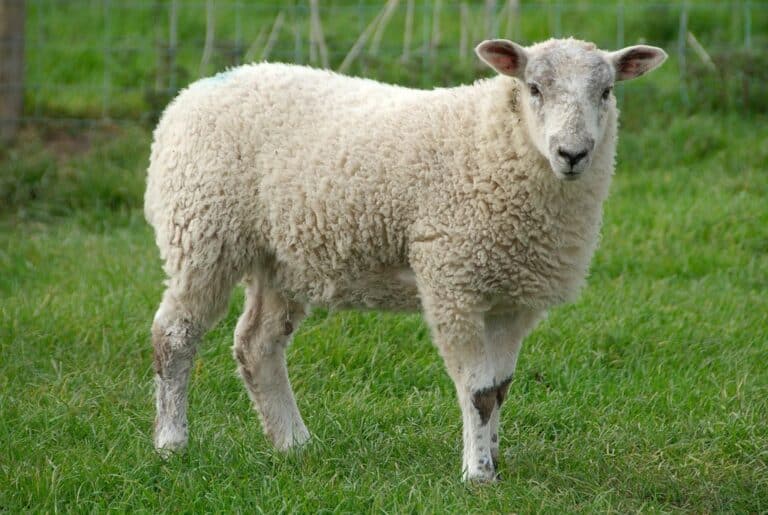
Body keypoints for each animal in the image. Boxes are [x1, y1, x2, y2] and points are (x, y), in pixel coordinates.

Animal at [145, 37, 667, 482]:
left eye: (606, 91)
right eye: (534, 88)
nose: (572, 153)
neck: (495, 143)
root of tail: (191, 94)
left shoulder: (514, 298)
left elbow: (500, 388)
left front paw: (496, 461)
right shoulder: (453, 282)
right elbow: (478, 392)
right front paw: (478, 475)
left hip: (281, 259)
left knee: (257, 345)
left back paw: (294, 443)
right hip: (203, 231)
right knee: (175, 335)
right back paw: (172, 443)